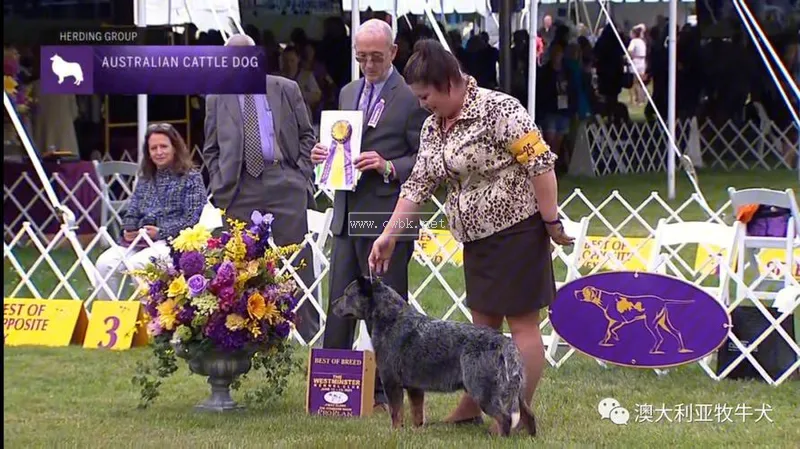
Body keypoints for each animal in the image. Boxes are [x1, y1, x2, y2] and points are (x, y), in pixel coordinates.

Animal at [332, 274, 536, 436]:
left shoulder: (391, 382)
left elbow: (396, 413)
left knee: (505, 418)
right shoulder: (415, 387)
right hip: (517, 394)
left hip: (482, 391)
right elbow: (417, 414)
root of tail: (506, 343)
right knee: (529, 415)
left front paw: (395, 433)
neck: (391, 320)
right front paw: (416, 433)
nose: (333, 303)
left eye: (347, 294)